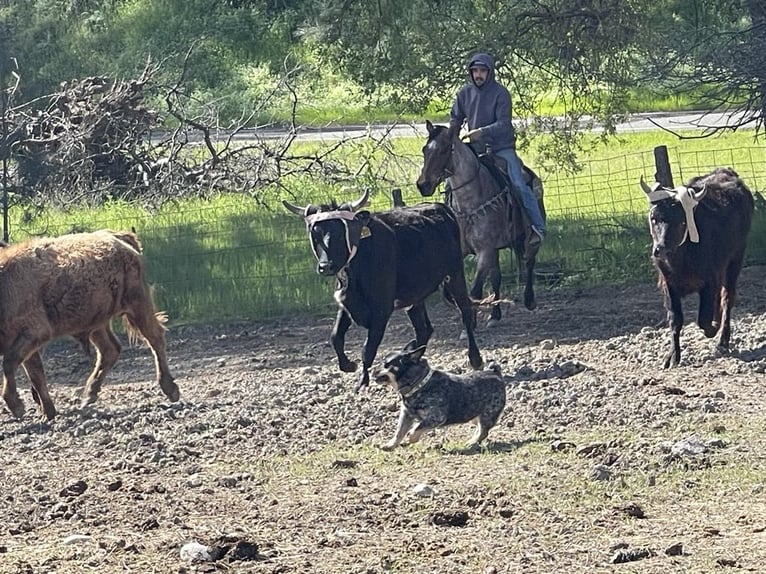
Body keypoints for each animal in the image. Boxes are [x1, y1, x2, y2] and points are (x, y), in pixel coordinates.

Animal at [0, 231, 178, 424]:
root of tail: (118, 236)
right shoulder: (28, 344)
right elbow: (35, 375)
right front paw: (48, 413)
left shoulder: (35, 333)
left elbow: (10, 364)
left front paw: (17, 407)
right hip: (97, 323)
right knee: (110, 349)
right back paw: (89, 395)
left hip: (137, 304)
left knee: (155, 338)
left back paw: (170, 389)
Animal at [284, 190, 484, 392]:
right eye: (315, 235)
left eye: (340, 234)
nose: (326, 266)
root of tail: (439, 206)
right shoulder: (347, 304)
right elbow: (335, 337)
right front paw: (348, 365)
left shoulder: (381, 310)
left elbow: (368, 349)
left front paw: (362, 382)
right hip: (415, 297)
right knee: (424, 330)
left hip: (455, 275)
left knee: (465, 313)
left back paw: (475, 359)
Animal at [414, 119, 544, 326]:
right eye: (425, 149)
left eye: (443, 150)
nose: (423, 185)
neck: (469, 205)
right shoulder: (463, 252)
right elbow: (453, 290)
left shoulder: (485, 251)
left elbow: (475, 289)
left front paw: (471, 321)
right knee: (497, 277)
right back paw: (495, 314)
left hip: (526, 237)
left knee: (529, 261)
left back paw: (529, 300)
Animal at [640, 169, 756, 372]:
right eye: (654, 219)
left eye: (680, 222)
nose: (660, 249)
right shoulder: (668, 285)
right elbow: (675, 320)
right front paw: (672, 357)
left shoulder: (709, 280)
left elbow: (703, 319)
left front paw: (713, 329)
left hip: (735, 259)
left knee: (727, 298)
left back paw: (722, 339)